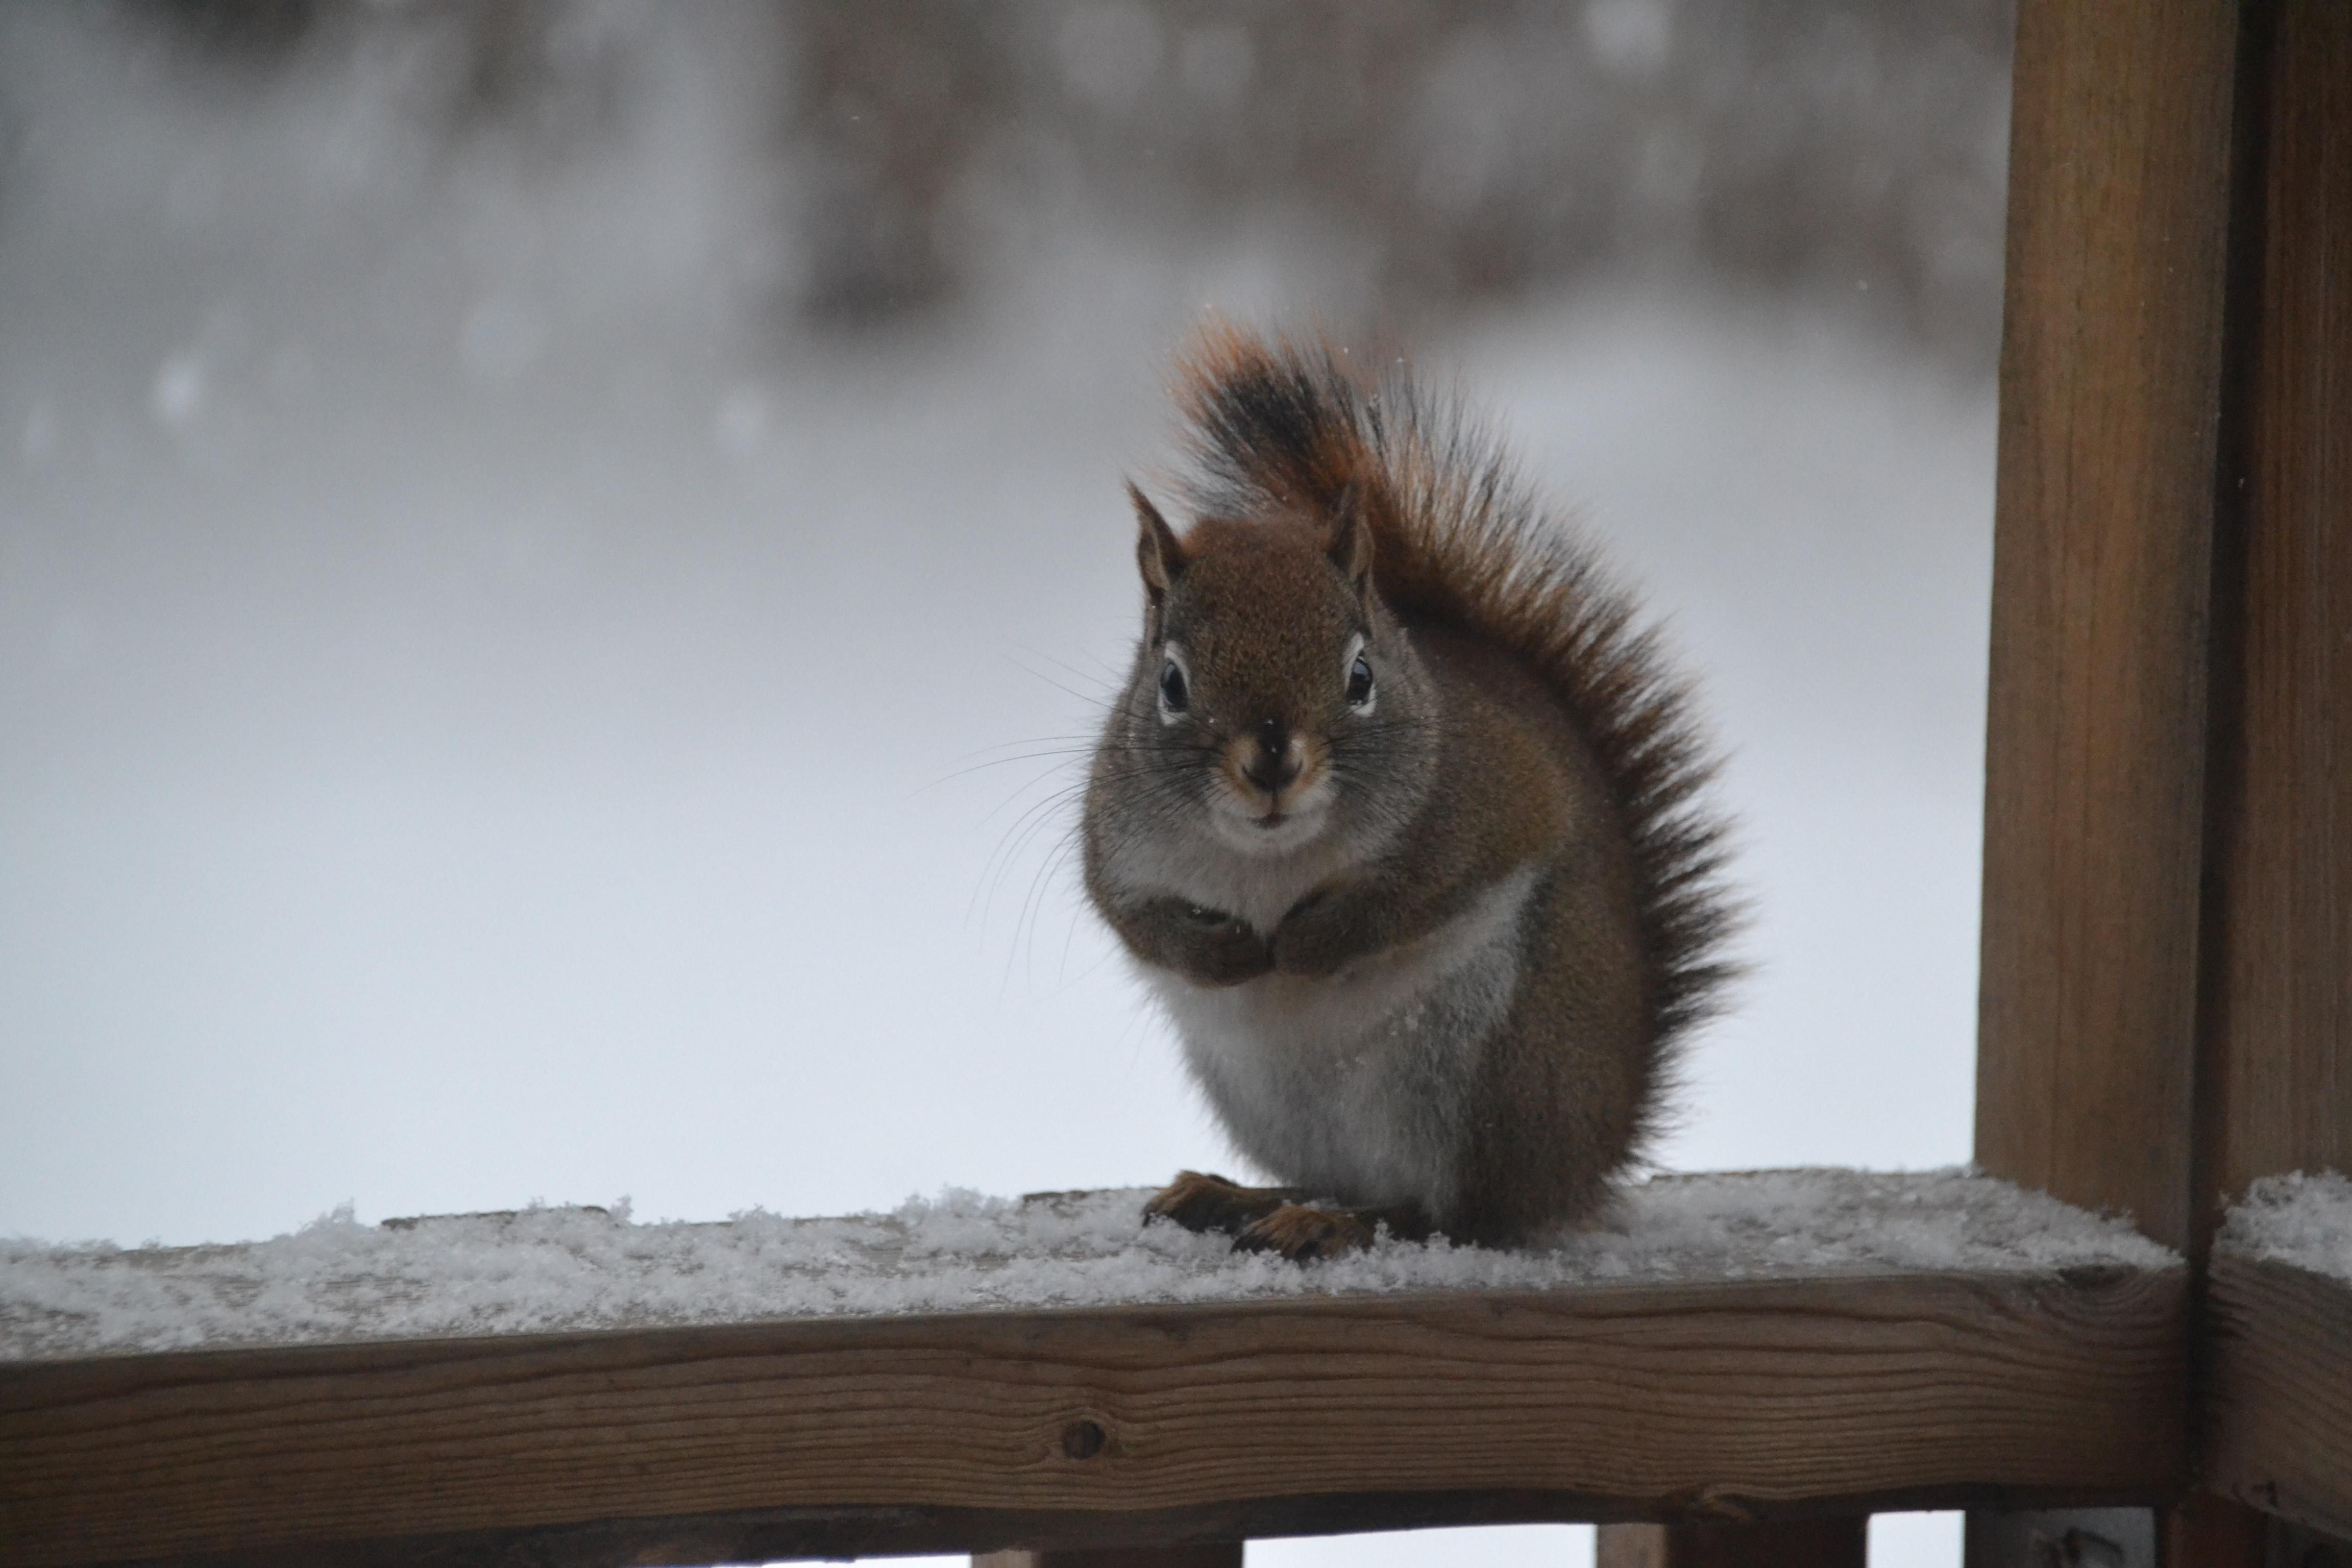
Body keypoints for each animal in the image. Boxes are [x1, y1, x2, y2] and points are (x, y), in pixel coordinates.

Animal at [1077, 329, 1731, 1260]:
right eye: (1170, 683)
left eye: (1359, 676)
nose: (1271, 761)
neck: (1268, 857)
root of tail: (1590, 1150)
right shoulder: (1118, 839)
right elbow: (1131, 917)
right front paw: (1224, 954)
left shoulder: (1499, 798)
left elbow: (1414, 896)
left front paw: (1307, 946)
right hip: (1269, 1095)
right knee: (1355, 1182)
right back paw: (1238, 1196)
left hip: (1487, 1069)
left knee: (1452, 1213)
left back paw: (1330, 1221)